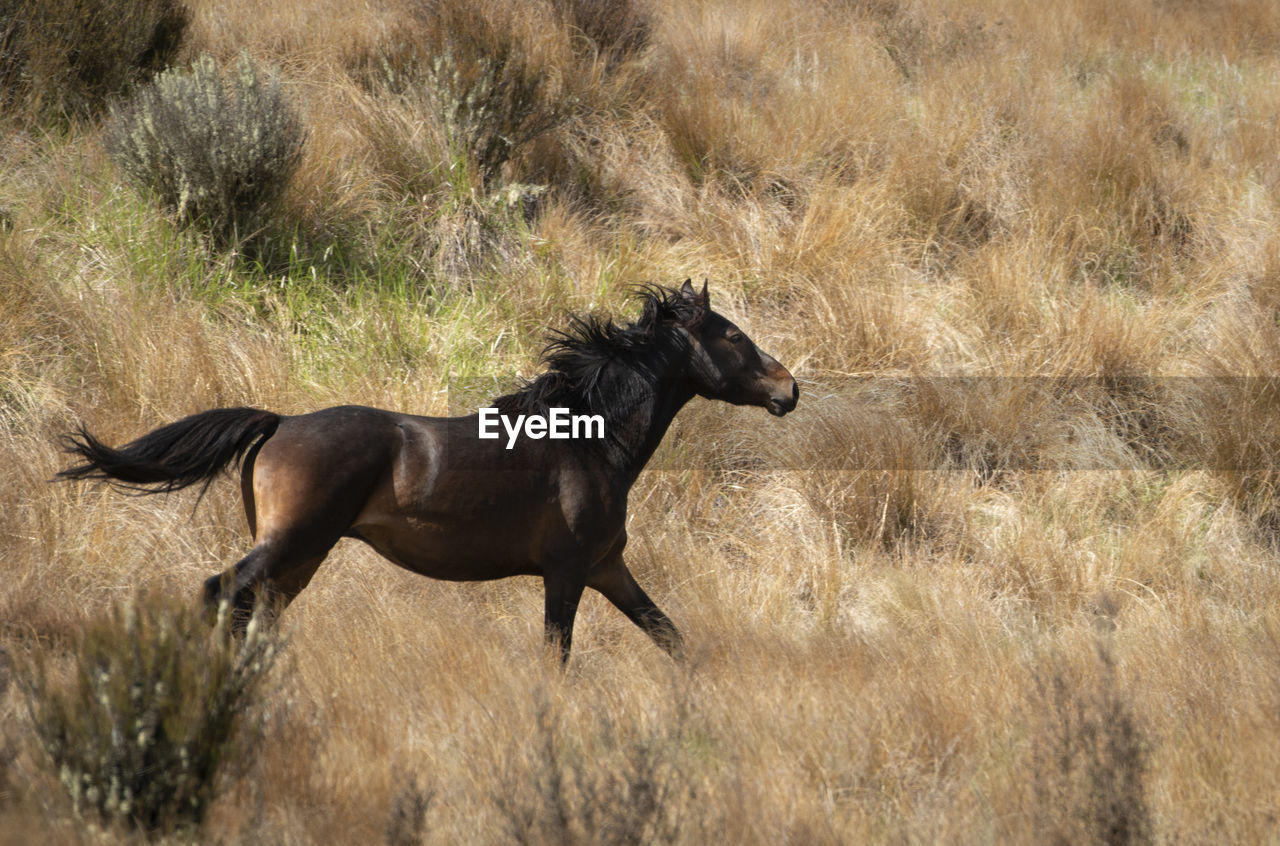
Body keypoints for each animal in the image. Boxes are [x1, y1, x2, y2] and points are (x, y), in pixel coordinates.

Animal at [62, 280, 798, 665]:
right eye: (732, 336)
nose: (789, 389)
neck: (589, 440)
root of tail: (280, 422)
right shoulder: (566, 572)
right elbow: (557, 655)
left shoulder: (607, 567)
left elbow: (670, 637)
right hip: (292, 544)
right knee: (219, 594)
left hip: (299, 558)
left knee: (252, 612)